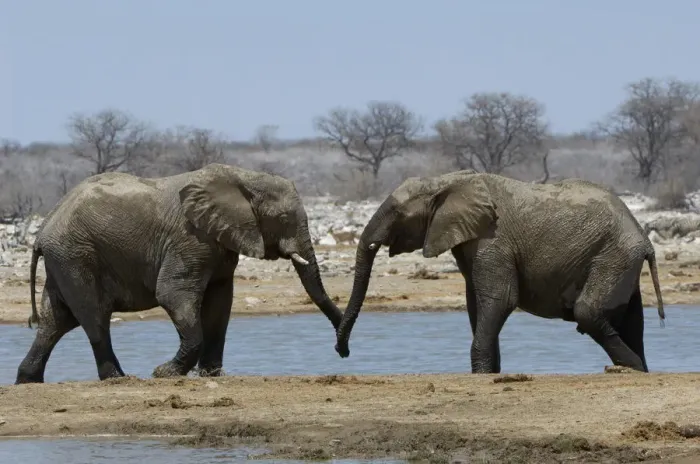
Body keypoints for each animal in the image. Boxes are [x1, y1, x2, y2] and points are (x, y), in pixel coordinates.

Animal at [16, 163, 343, 384]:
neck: (242, 177)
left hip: (63, 260)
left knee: (56, 321)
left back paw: (27, 380)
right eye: (284, 218)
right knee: (94, 317)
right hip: (75, 256)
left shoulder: (219, 242)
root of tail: (42, 230)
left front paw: (210, 374)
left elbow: (220, 303)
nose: (343, 350)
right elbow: (173, 294)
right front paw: (164, 373)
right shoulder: (190, 238)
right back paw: (119, 378)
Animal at [334, 170, 665, 373]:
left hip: (614, 255)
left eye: (397, 213)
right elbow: (476, 305)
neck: (446, 180)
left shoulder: (493, 239)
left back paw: (631, 369)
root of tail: (644, 237)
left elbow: (499, 299)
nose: (342, 351)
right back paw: (640, 370)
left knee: (588, 312)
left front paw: (481, 373)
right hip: (621, 259)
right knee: (632, 321)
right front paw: (489, 373)